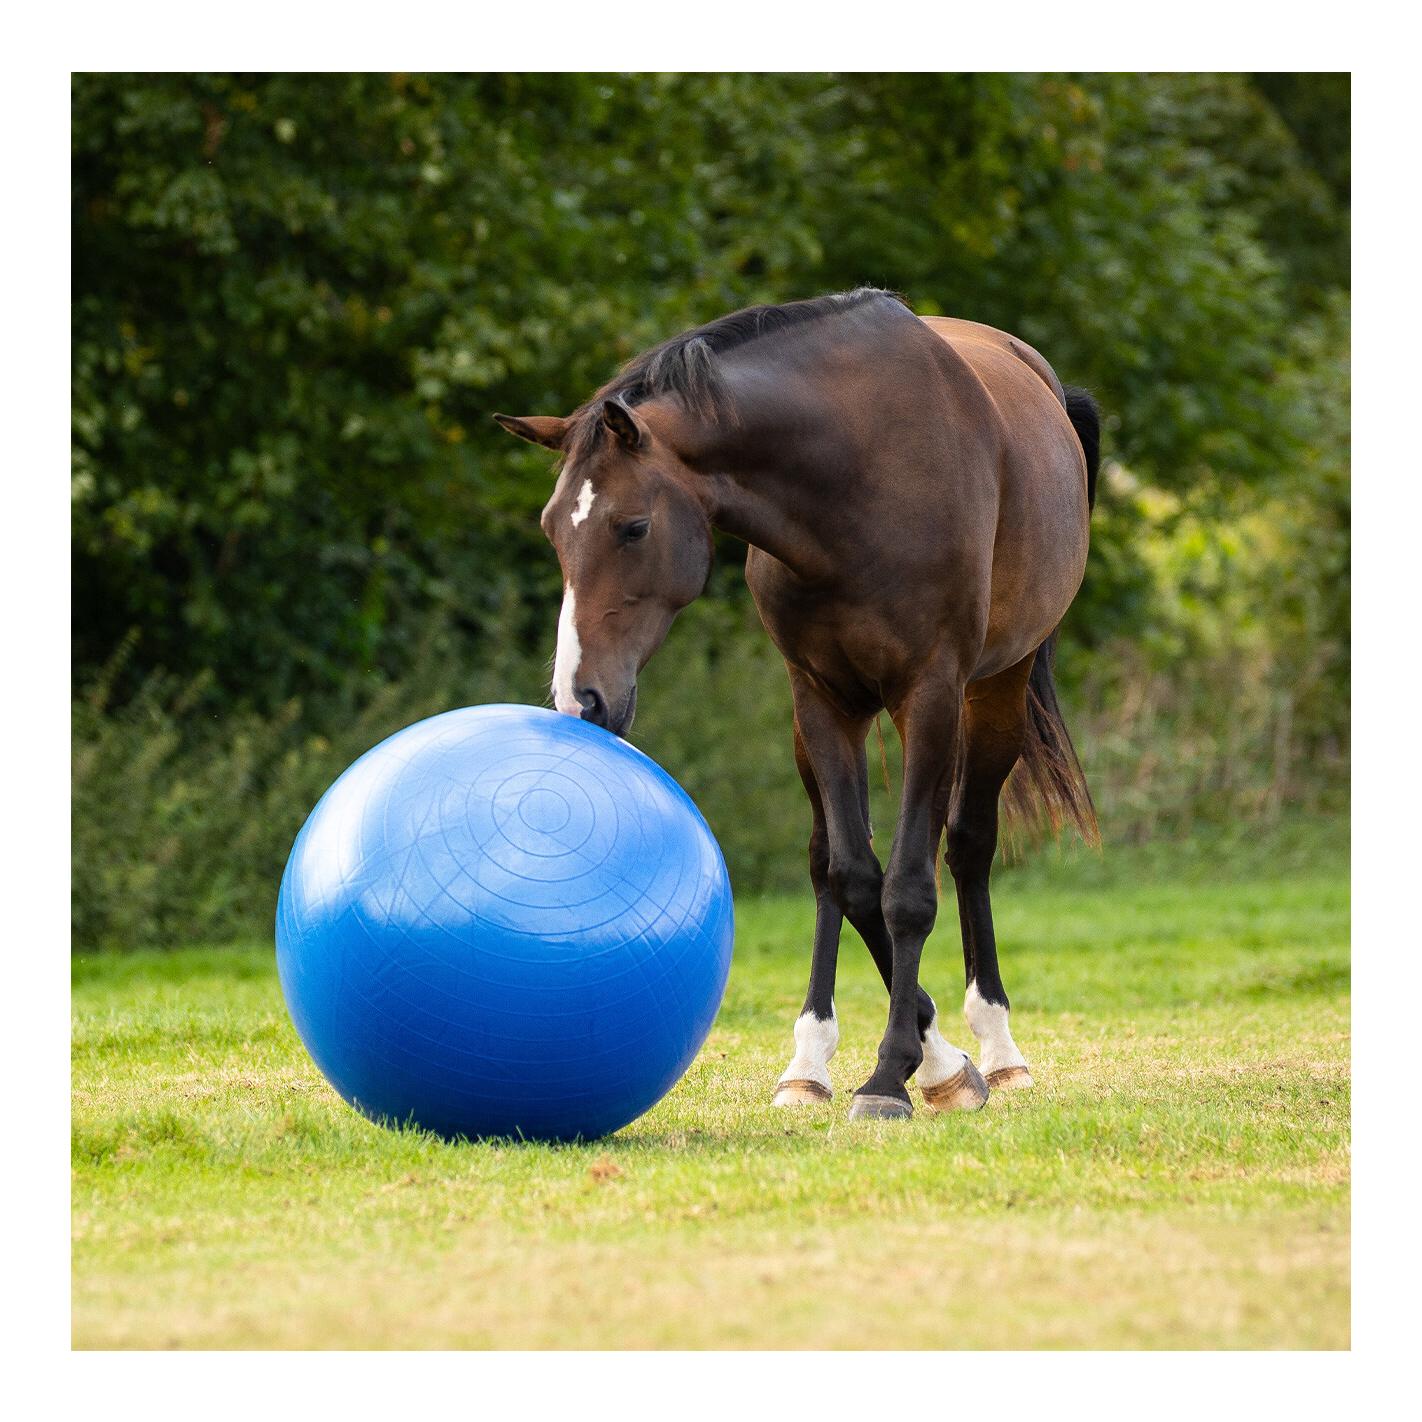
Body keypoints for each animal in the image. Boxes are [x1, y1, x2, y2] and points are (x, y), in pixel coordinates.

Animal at [494, 287, 1098, 1120]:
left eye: (633, 526)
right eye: (554, 530)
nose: (578, 697)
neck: (854, 477)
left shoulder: (930, 696)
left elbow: (909, 889)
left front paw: (894, 1077)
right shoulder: (821, 702)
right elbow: (854, 876)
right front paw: (931, 1062)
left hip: (993, 694)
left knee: (968, 847)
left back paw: (1000, 1049)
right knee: (829, 865)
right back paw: (812, 1062)